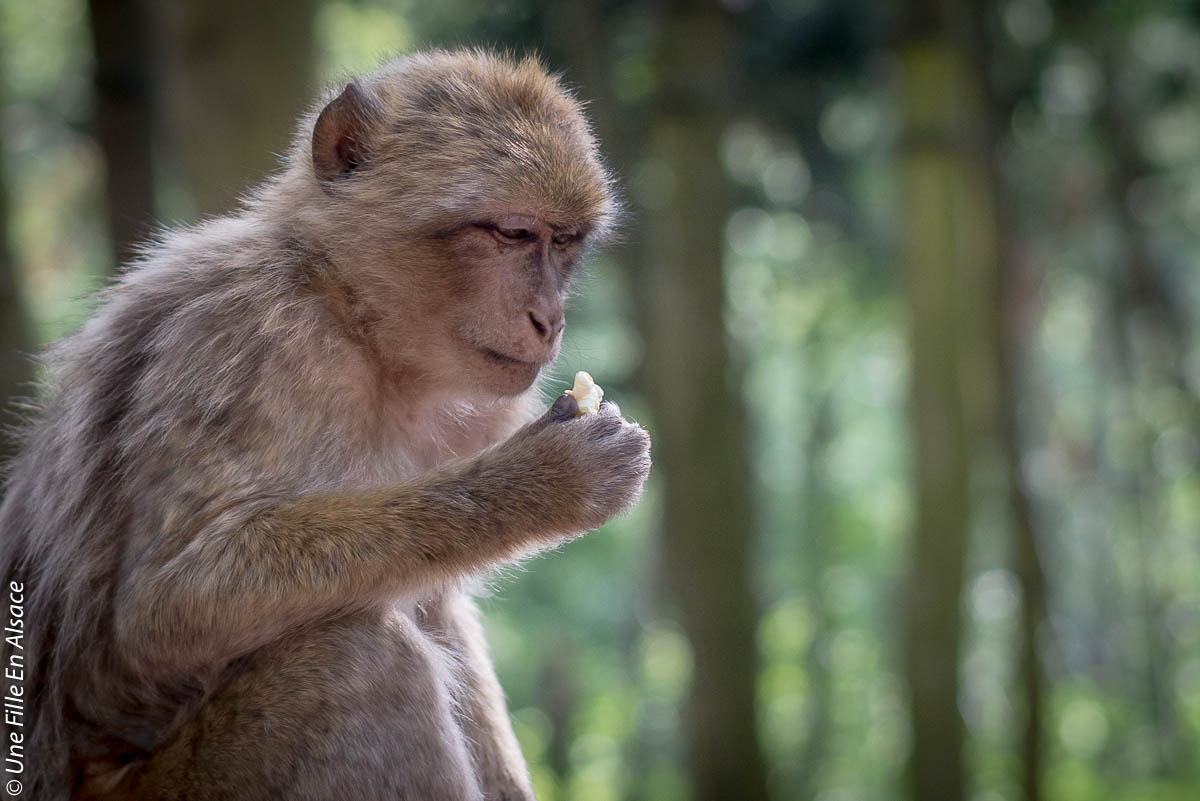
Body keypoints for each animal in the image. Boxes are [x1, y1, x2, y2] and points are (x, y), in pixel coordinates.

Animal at [0, 51, 652, 801]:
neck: (354, 318)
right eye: (514, 234)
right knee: (360, 660)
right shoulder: (250, 340)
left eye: (565, 243)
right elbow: (164, 605)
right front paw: (543, 483)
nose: (551, 319)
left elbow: (438, 611)